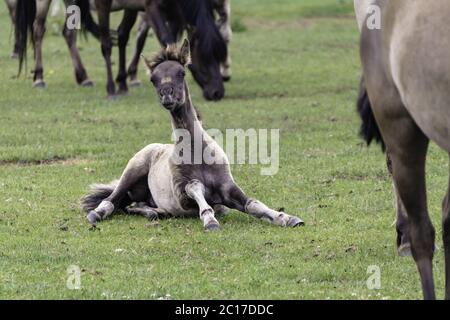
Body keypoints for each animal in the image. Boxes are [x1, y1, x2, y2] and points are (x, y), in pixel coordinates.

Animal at [82, 39, 304, 230]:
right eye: (153, 79)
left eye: (181, 72)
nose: (167, 96)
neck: (198, 151)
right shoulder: (183, 194)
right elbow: (196, 188)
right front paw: (210, 221)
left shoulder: (227, 187)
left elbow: (253, 203)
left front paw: (287, 218)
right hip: (133, 169)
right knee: (112, 199)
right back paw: (97, 214)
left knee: (133, 205)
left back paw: (153, 212)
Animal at [95, 0, 229, 100]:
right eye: (204, 58)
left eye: (219, 57)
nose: (217, 93)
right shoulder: (152, 7)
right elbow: (167, 39)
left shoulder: (174, 13)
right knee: (106, 44)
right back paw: (111, 88)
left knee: (123, 35)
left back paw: (122, 84)